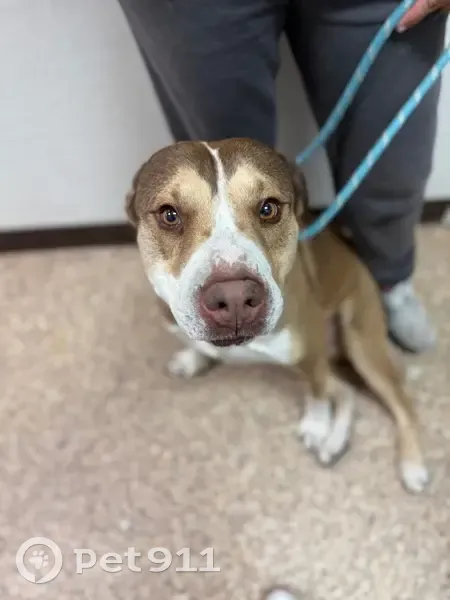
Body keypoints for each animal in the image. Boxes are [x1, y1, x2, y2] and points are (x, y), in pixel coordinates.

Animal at [125, 138, 428, 494]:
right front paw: (193, 358)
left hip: (361, 342)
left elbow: (316, 393)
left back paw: (411, 464)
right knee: (348, 392)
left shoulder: (311, 352)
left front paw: (315, 424)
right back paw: (334, 443)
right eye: (169, 215)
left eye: (268, 208)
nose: (234, 297)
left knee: (401, 402)